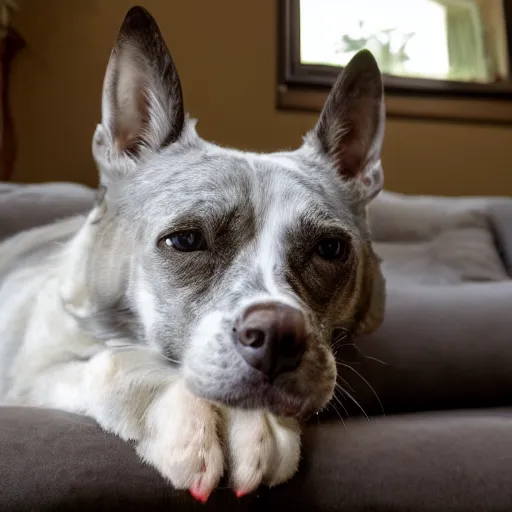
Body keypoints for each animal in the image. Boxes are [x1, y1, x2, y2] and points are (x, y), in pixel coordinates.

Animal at [0, 6, 384, 502]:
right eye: (184, 241)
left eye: (330, 249)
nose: (278, 335)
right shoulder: (31, 377)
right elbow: (116, 362)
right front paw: (188, 414)